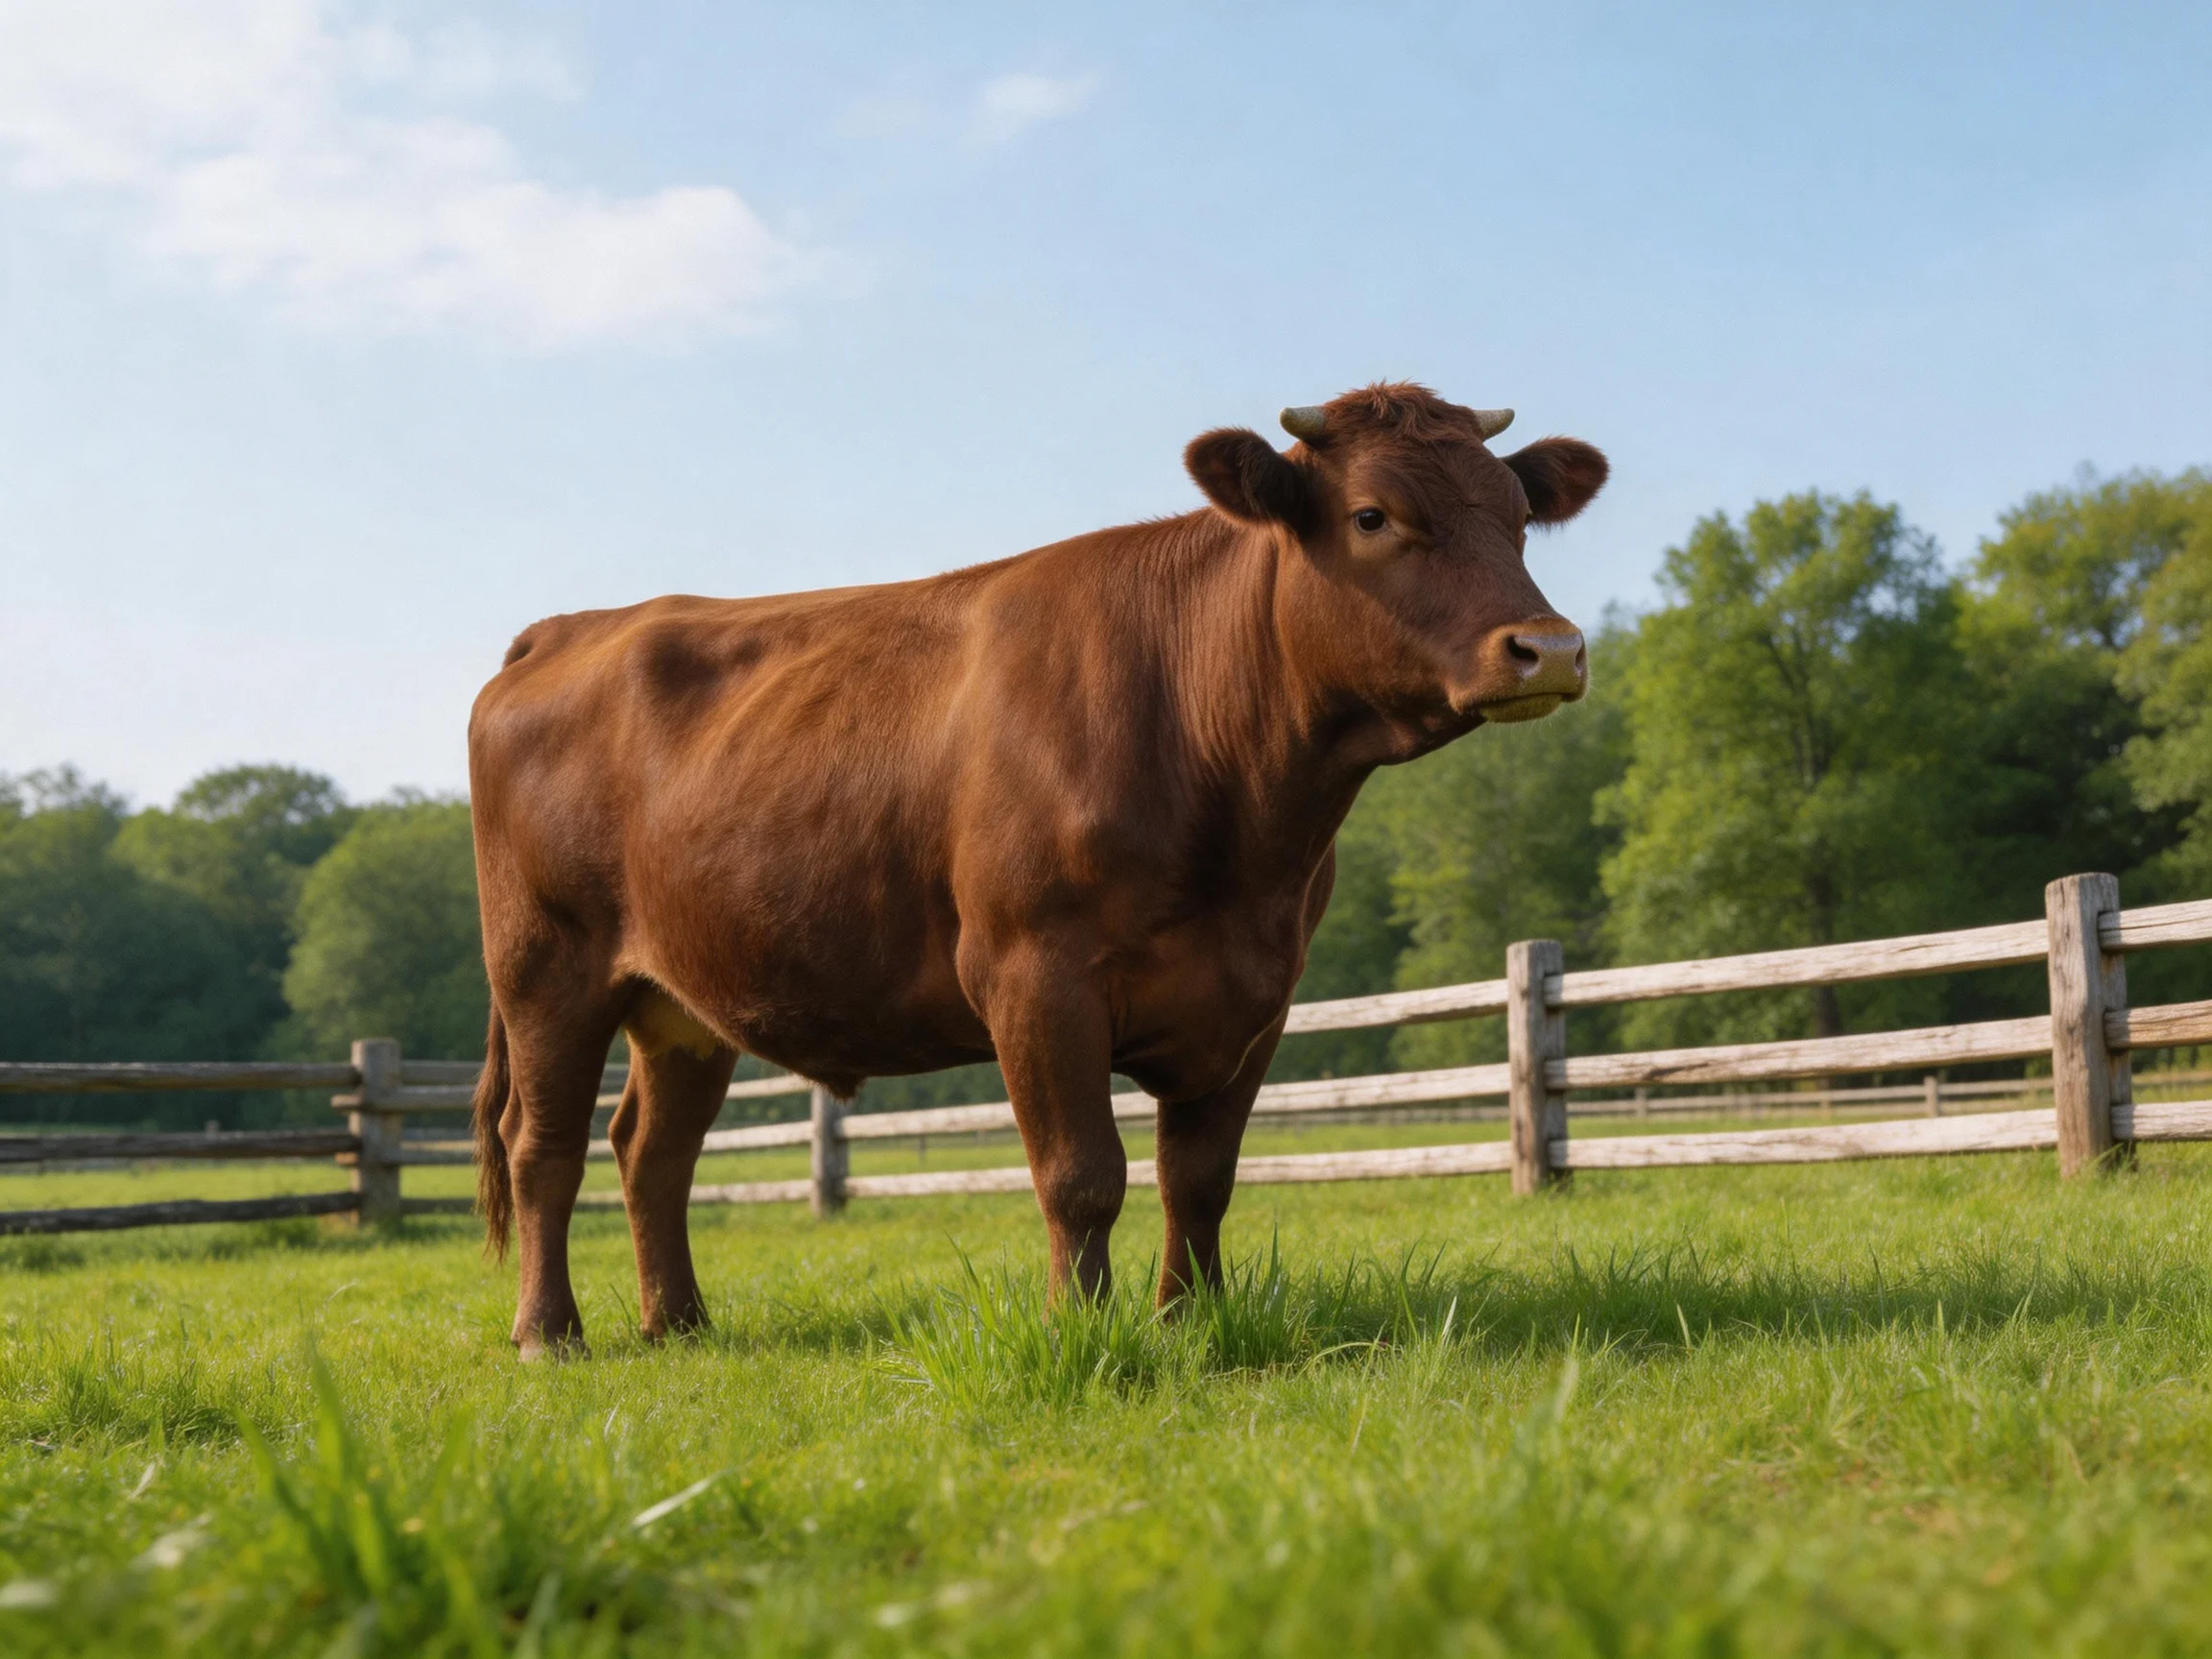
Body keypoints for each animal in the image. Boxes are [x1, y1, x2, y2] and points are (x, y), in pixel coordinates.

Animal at [469, 381, 1606, 1357]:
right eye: (1372, 516)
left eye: (1518, 517)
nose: (1548, 647)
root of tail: (575, 627)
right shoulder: (1033, 974)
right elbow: (1081, 1176)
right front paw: (1079, 1331)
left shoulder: (1258, 997)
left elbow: (1200, 1179)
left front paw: (1188, 1325)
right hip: (545, 967)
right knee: (543, 1145)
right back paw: (549, 1334)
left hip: (683, 1001)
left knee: (651, 1151)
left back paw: (680, 1324)